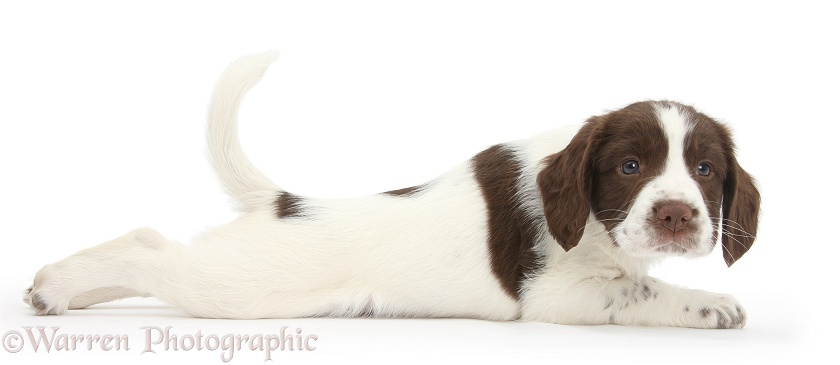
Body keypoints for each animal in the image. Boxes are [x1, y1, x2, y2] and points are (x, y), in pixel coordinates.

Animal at [24, 52, 760, 328]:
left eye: (705, 171)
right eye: (630, 167)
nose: (676, 216)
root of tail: (284, 202)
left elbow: (639, 279)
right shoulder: (558, 293)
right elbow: (642, 291)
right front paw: (711, 304)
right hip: (236, 286)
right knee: (150, 247)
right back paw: (56, 283)